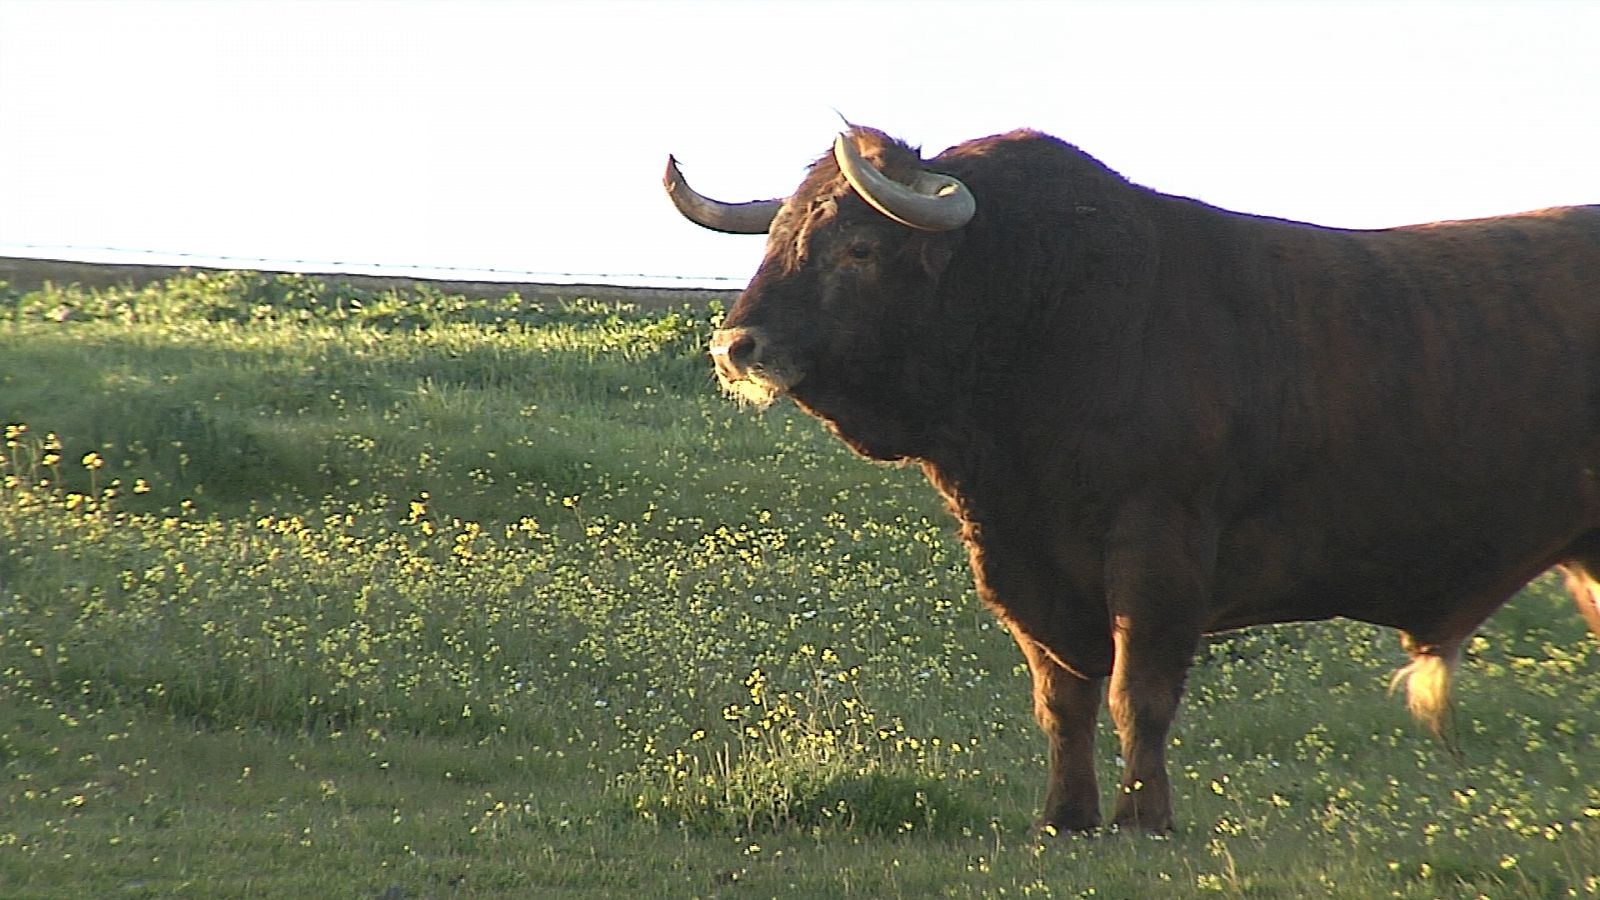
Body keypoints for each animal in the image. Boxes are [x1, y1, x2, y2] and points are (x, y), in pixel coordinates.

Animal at [659, 122, 1600, 832]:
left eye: (857, 247)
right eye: (779, 236)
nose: (735, 346)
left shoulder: (1158, 547)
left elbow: (1135, 692)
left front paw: (1143, 819)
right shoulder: (1022, 563)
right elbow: (1061, 699)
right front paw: (1064, 816)